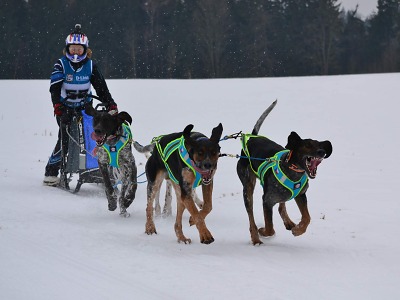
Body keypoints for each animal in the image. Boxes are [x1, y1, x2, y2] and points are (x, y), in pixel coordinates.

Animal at [236, 99, 332, 245]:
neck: (293, 170)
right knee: (251, 216)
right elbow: (270, 228)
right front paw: (262, 231)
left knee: (281, 206)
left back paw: (288, 222)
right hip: (247, 188)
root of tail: (252, 137)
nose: (322, 152)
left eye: (320, 145)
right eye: (307, 145)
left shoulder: (301, 195)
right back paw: (255, 237)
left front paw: (298, 230)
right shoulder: (267, 201)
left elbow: (307, 217)